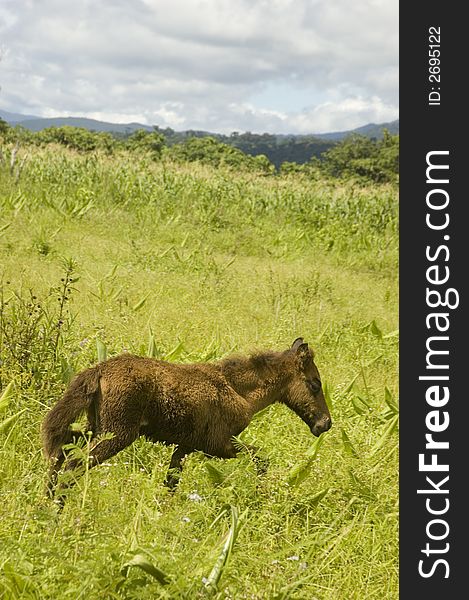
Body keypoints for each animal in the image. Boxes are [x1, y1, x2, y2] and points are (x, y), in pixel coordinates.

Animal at [42, 336, 330, 500]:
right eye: (315, 384)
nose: (325, 423)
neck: (238, 390)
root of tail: (99, 369)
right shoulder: (219, 445)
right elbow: (261, 458)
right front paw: (261, 494)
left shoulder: (185, 447)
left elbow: (171, 482)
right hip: (117, 433)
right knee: (72, 465)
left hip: (95, 426)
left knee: (62, 452)